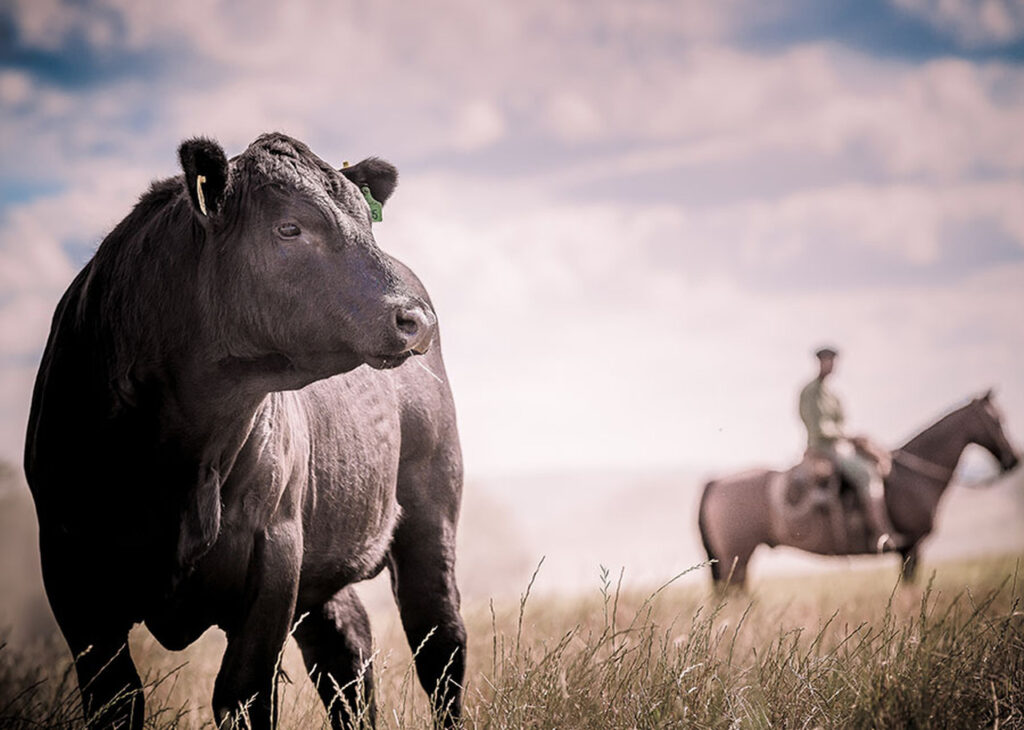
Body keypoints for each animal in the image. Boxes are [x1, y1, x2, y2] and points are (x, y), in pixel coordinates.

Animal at [24, 134, 464, 724]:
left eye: (366, 225)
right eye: (288, 228)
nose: (415, 319)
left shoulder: (274, 551)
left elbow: (242, 693)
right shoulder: (71, 566)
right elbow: (117, 698)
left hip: (430, 512)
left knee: (440, 645)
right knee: (346, 649)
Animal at [696, 391, 1015, 589]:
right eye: (998, 419)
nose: (1013, 460)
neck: (914, 477)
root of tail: (715, 482)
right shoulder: (912, 548)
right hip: (738, 555)